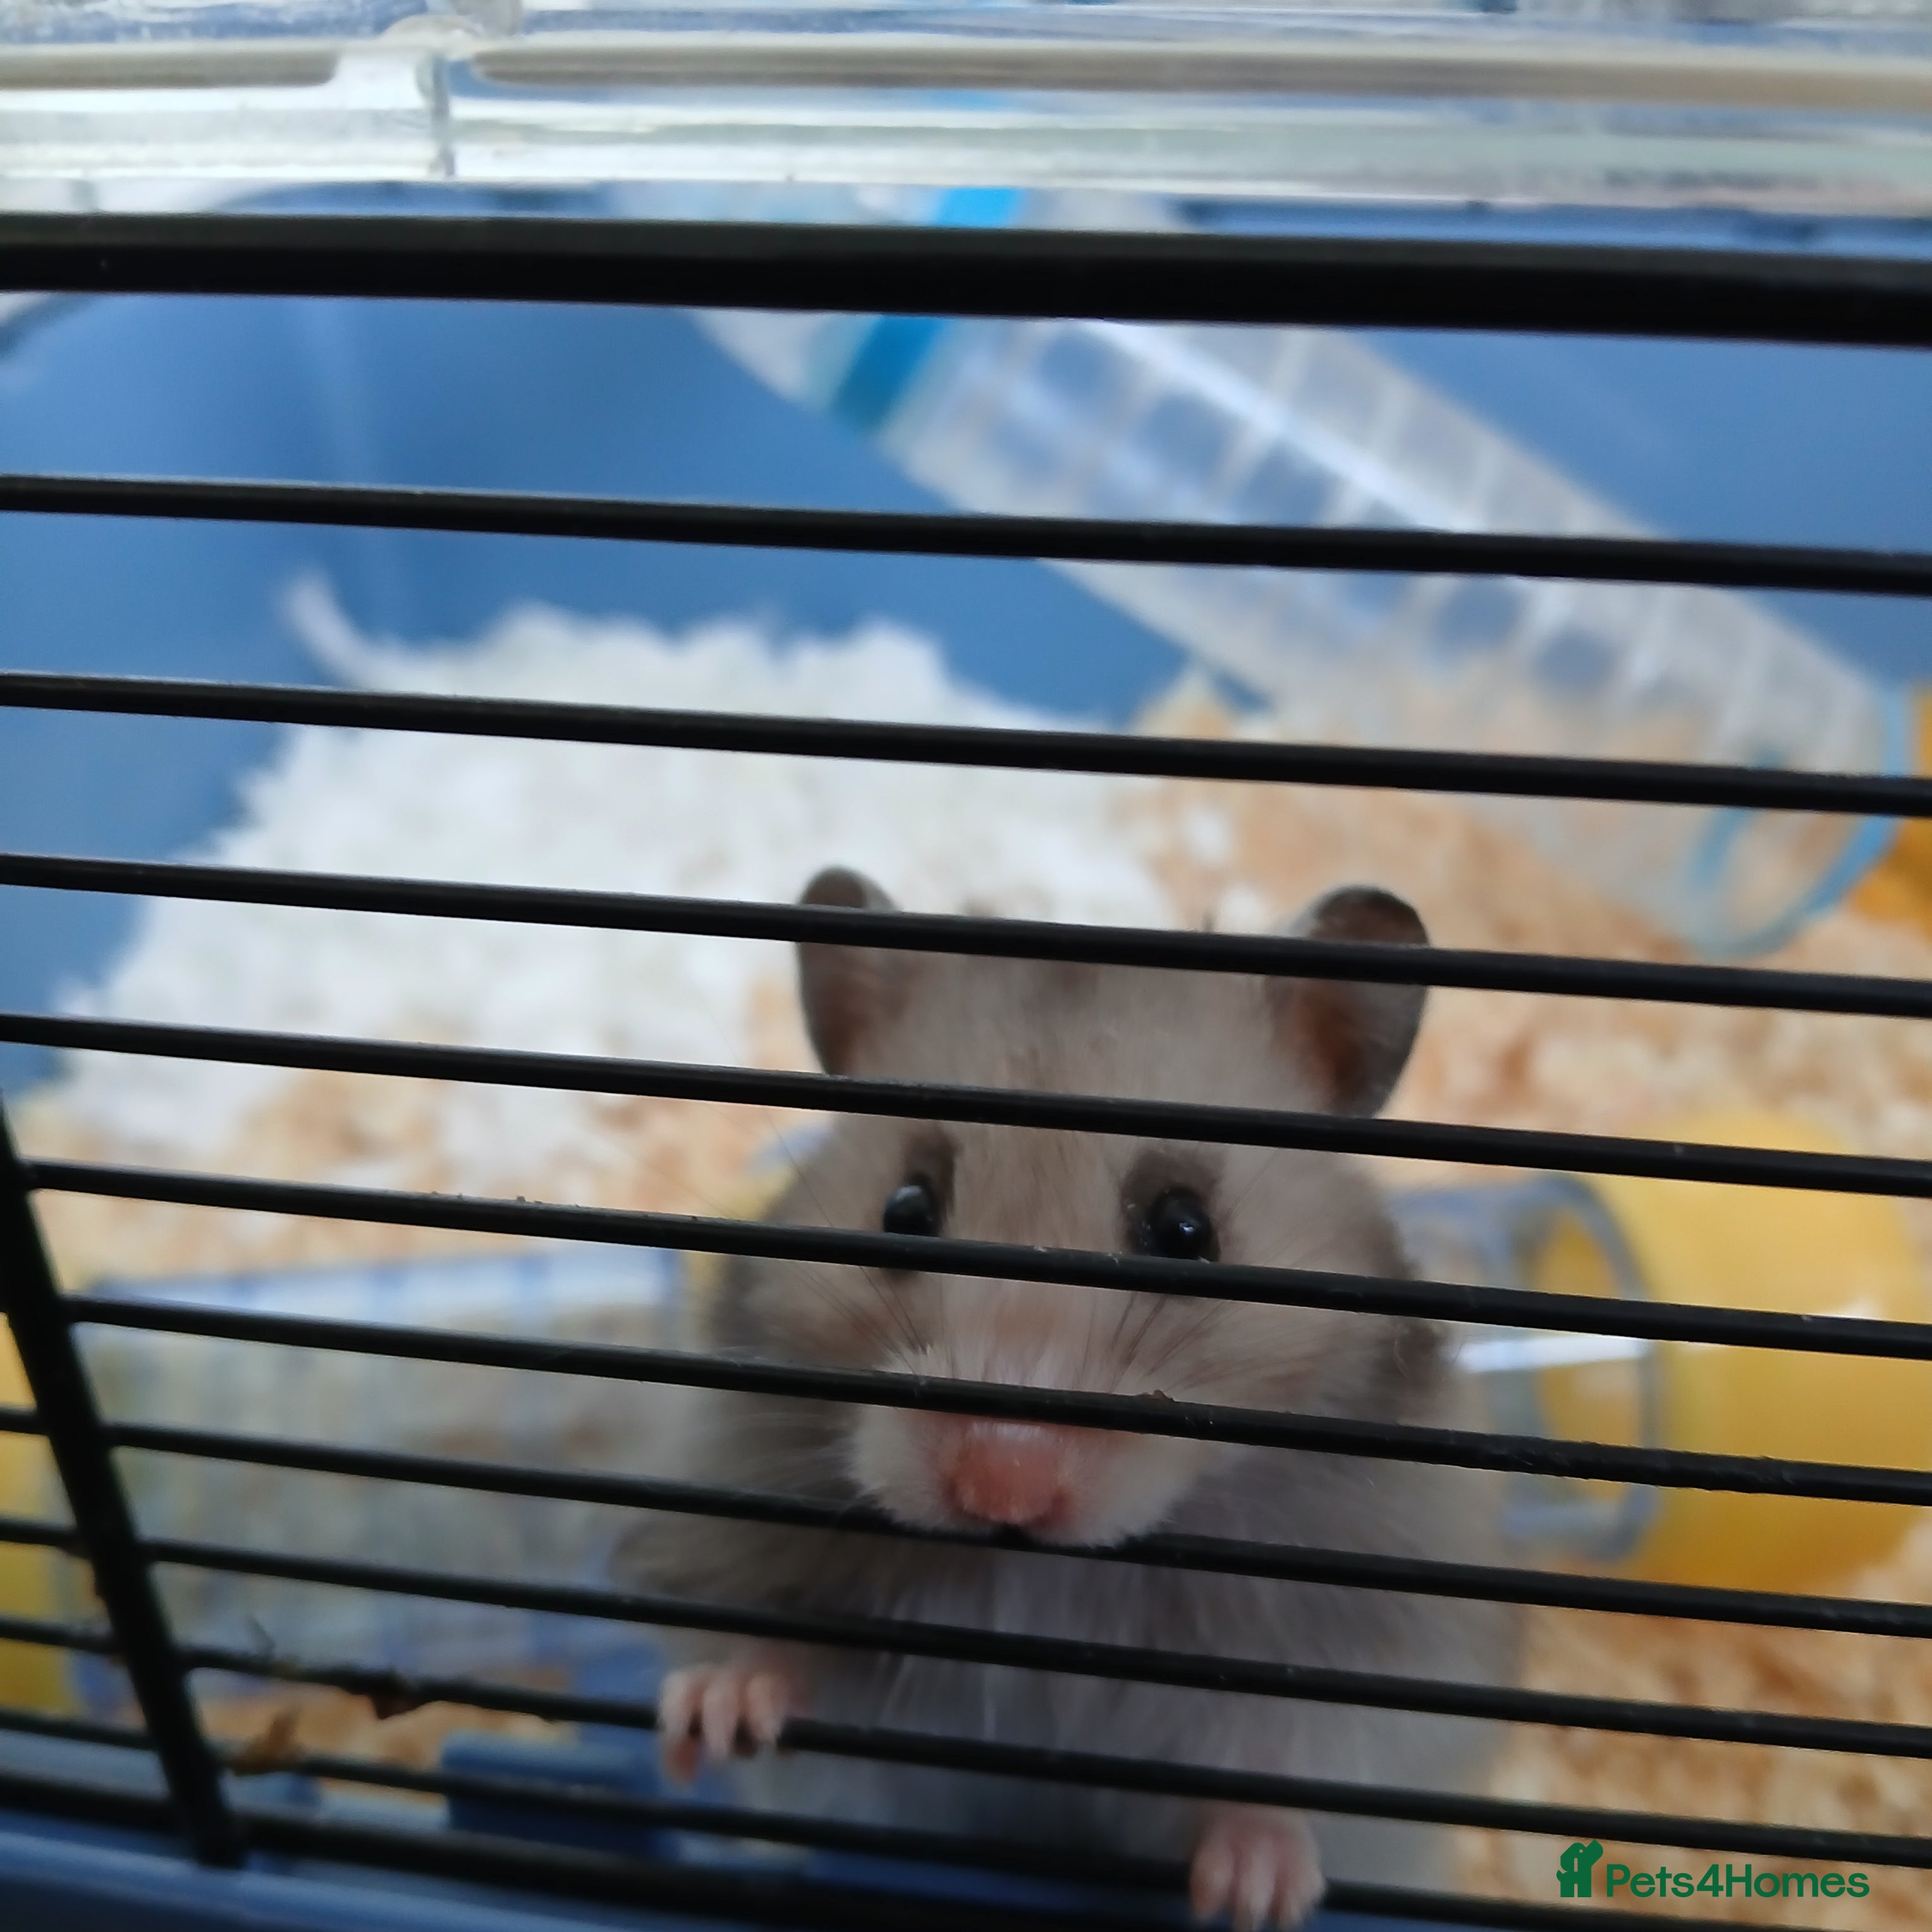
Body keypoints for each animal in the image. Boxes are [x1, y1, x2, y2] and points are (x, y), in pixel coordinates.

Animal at [619, 865, 1517, 1931]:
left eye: (1186, 1229)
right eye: (904, 1210)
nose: (1000, 1488)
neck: (1045, 1580)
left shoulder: (1384, 1662)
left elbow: (1284, 1776)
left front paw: (1251, 1898)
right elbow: (772, 1657)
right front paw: (709, 1718)